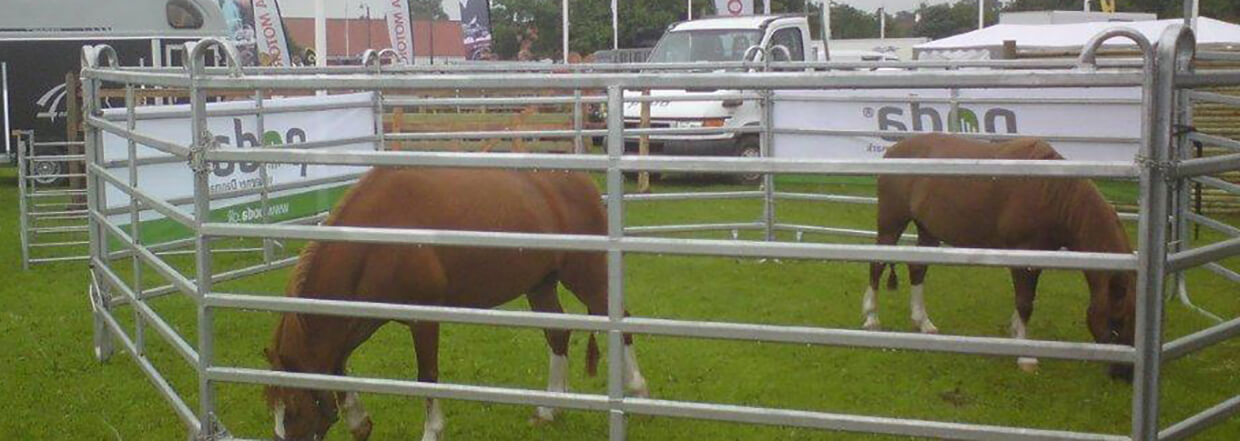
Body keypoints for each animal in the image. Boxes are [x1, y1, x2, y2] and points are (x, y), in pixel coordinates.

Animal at [261, 168, 649, 441]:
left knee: (621, 318)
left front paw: (432, 431)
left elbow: (427, 376)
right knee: (558, 334)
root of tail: (582, 181)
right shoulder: (363, 317)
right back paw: (549, 410)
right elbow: (337, 361)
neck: (379, 236)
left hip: (586, 274)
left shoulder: (423, 318)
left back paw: (637, 390)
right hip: (540, 285)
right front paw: (359, 422)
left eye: (293, 411)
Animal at [863, 133, 1135, 379]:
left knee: (917, 269)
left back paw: (923, 323)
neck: (1053, 193)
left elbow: (1024, 300)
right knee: (876, 265)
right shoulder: (1025, 254)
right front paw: (1025, 357)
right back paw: (871, 319)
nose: (1125, 374)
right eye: (1117, 320)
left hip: (927, 229)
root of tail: (892, 152)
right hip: (890, 223)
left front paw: (1014, 332)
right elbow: (1025, 303)